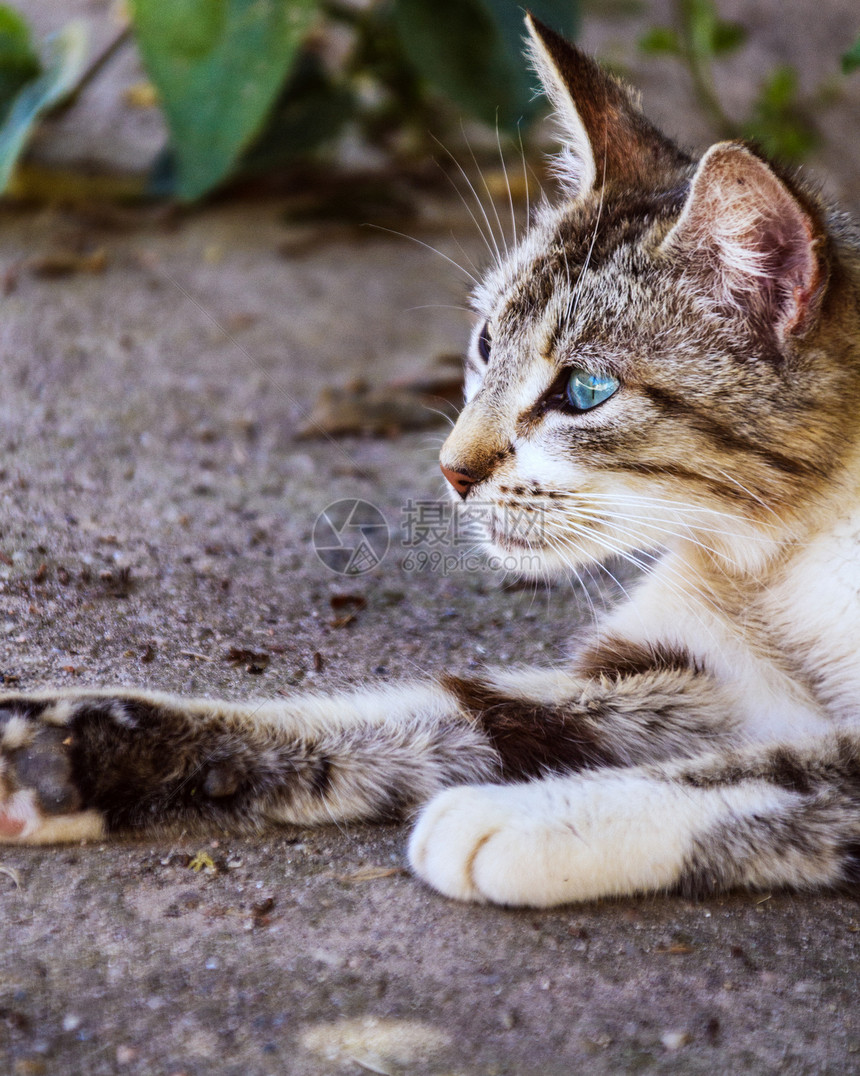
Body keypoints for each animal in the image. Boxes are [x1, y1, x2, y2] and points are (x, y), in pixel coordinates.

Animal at [1, 16, 860, 908]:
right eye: (484, 345)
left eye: (586, 389)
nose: (453, 470)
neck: (772, 556)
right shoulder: (682, 672)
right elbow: (434, 710)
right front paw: (72, 751)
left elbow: (781, 770)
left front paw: (523, 817)